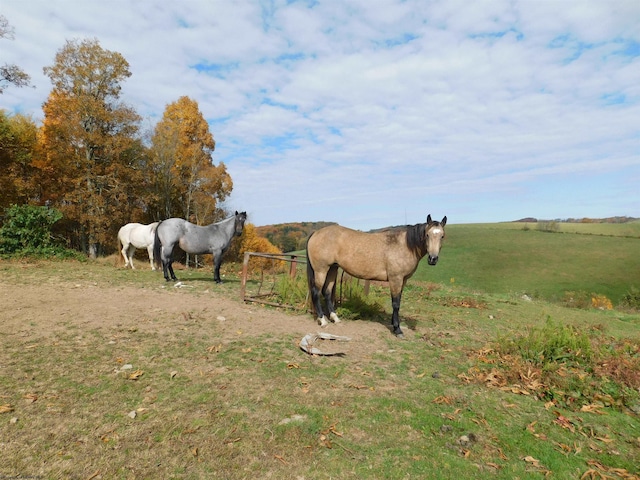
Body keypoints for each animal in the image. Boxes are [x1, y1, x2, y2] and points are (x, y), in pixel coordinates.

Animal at [308, 215, 448, 338]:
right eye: (427, 235)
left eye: (442, 236)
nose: (433, 259)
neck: (404, 245)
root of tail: (316, 233)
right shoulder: (395, 279)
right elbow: (395, 303)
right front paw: (397, 329)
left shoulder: (403, 280)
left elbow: (398, 301)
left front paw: (394, 324)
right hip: (321, 270)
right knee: (316, 292)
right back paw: (323, 320)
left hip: (332, 269)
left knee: (326, 292)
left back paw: (335, 318)